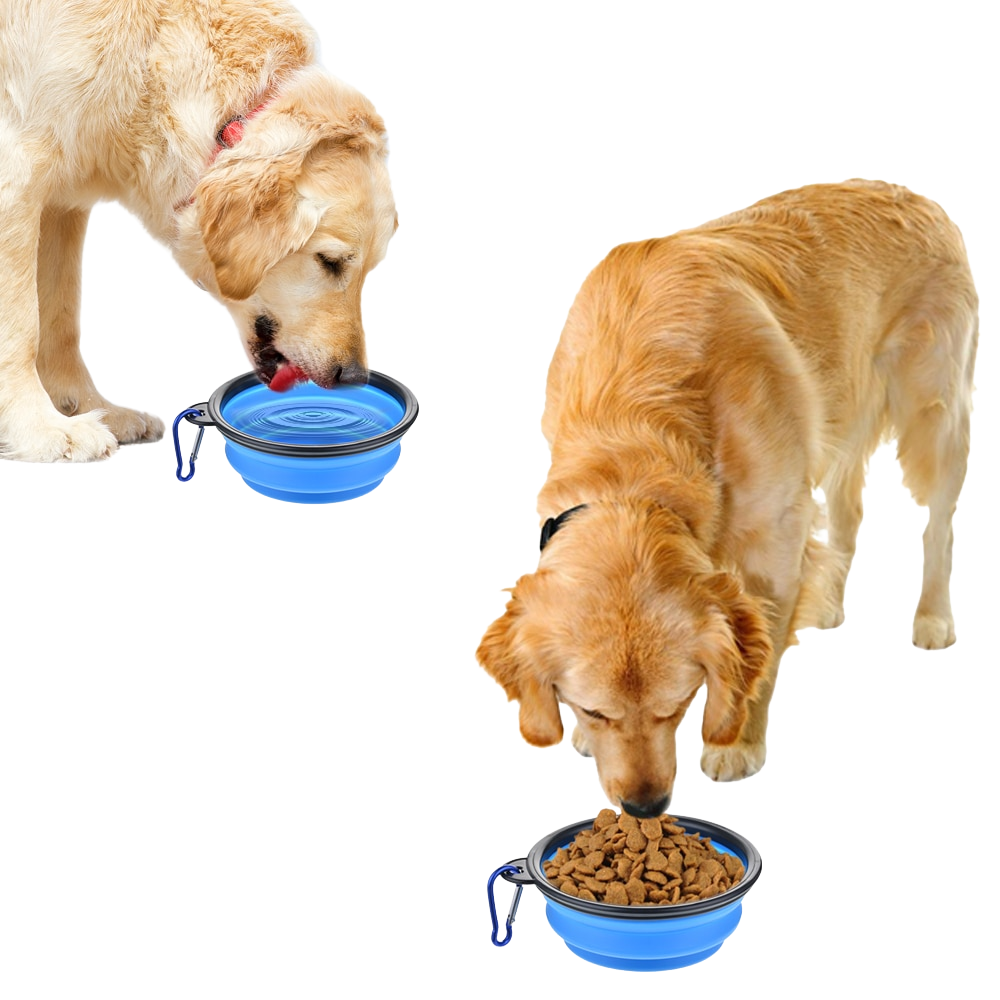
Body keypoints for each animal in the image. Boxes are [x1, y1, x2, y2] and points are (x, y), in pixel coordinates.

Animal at [0, 0, 398, 460]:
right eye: (329, 262)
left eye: (369, 269)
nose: (353, 377)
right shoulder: (17, 173)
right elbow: (23, 326)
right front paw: (41, 429)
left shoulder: (64, 198)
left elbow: (61, 319)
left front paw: (93, 410)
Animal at [476, 184, 976, 816]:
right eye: (591, 709)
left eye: (680, 703)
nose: (647, 807)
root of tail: (919, 196)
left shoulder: (775, 534)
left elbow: (761, 655)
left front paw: (736, 743)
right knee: (850, 512)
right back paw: (830, 602)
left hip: (934, 413)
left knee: (940, 526)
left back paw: (933, 616)